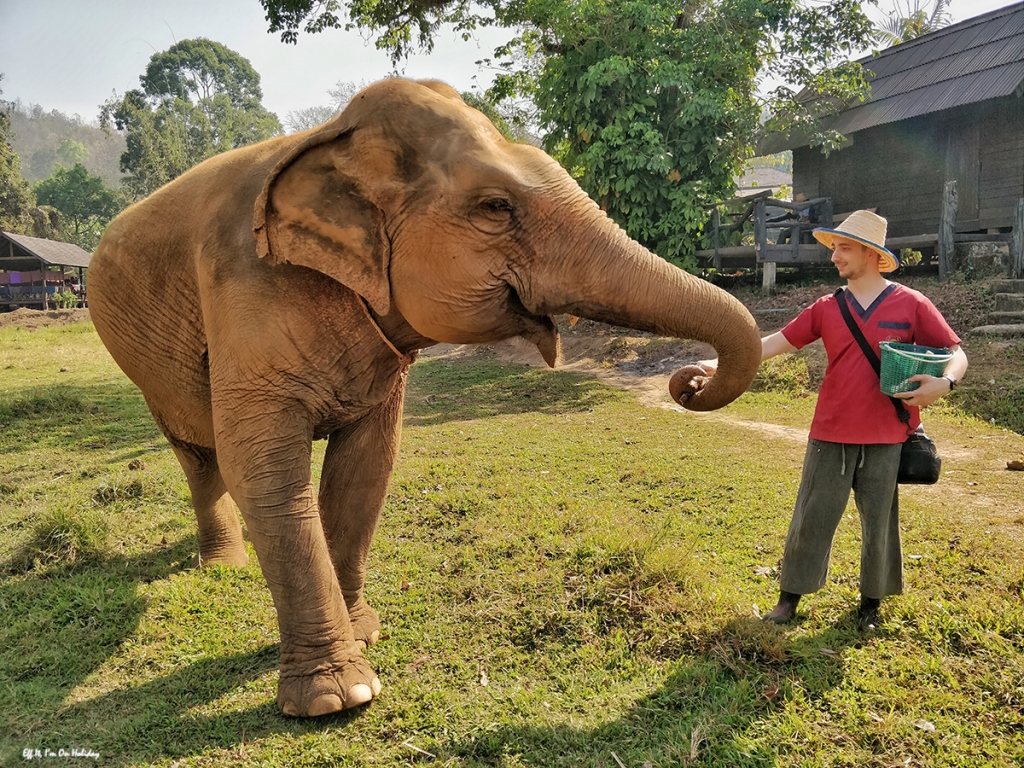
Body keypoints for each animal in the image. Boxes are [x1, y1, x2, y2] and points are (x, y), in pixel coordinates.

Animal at [88, 75, 761, 720]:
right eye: (495, 206)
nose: (689, 383)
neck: (332, 141)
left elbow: (367, 464)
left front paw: (366, 635)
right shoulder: (244, 290)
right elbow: (265, 472)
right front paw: (338, 699)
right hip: (144, 367)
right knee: (199, 456)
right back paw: (226, 564)